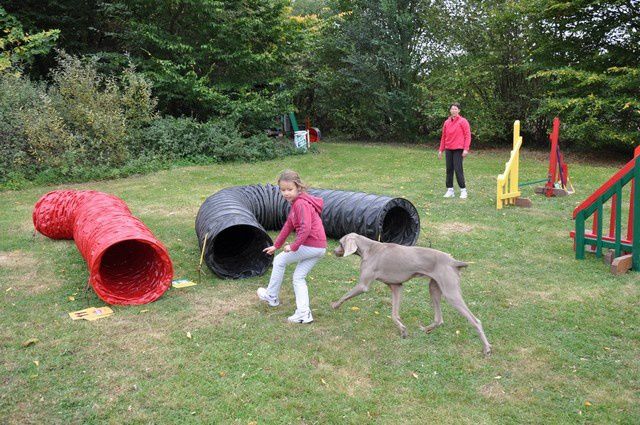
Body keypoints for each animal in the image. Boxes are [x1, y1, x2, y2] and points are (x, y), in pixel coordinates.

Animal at [332, 232, 492, 354]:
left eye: (340, 243)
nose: (333, 251)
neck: (369, 248)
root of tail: (453, 261)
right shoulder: (396, 286)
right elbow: (394, 314)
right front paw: (403, 330)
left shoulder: (363, 285)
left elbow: (345, 295)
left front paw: (334, 305)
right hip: (434, 288)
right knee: (439, 319)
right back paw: (425, 329)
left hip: (451, 293)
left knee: (475, 321)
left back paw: (487, 348)